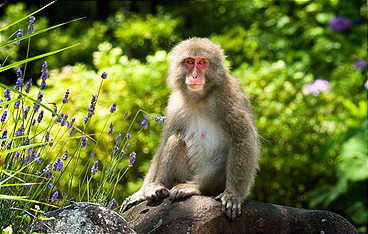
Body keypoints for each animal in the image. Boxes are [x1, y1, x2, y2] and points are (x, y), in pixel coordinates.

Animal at [125, 37, 260, 219]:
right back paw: (158, 187)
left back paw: (192, 187)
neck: (200, 97)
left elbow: (243, 139)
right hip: (184, 174)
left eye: (202, 62)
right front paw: (141, 192)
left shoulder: (229, 96)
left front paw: (233, 194)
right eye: (189, 62)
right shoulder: (174, 105)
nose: (195, 75)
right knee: (174, 139)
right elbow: (164, 141)